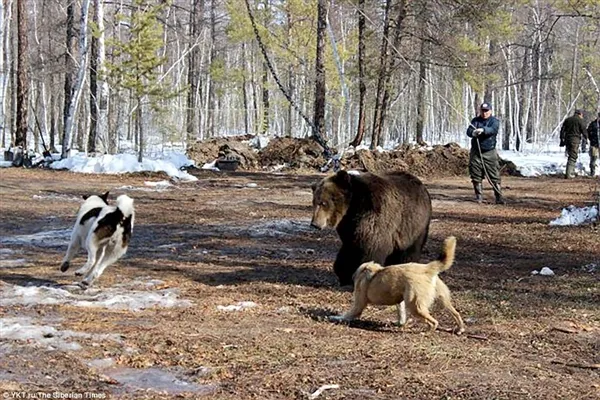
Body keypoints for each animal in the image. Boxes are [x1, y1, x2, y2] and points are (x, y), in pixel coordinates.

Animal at [332, 236, 464, 332]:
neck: (365, 269)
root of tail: (427, 268)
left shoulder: (358, 304)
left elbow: (346, 315)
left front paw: (335, 317)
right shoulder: (399, 301)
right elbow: (401, 313)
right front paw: (400, 323)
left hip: (415, 306)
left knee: (434, 322)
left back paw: (426, 331)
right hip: (443, 300)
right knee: (456, 313)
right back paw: (460, 329)